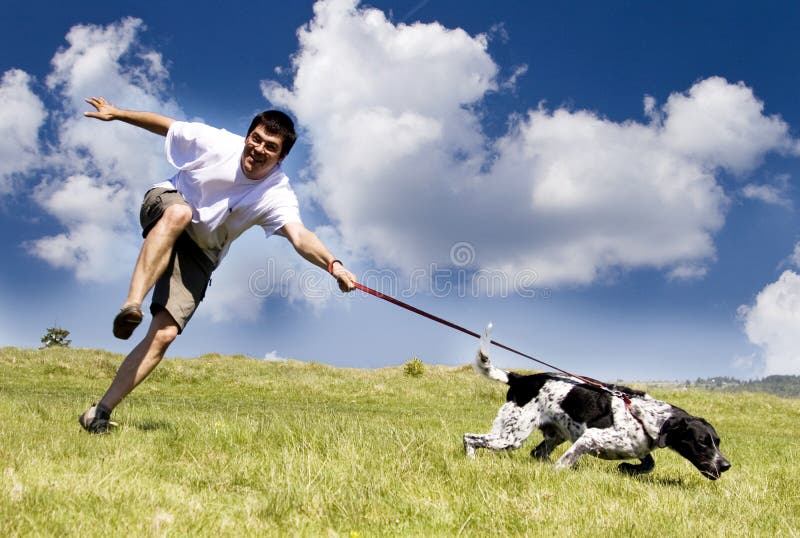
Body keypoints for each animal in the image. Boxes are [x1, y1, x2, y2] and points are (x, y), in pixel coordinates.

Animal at [462, 322, 732, 478]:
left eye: (717, 441)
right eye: (702, 442)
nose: (726, 465)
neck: (645, 417)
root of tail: (520, 379)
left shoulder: (637, 447)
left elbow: (649, 464)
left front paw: (628, 469)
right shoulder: (590, 437)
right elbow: (565, 462)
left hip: (552, 435)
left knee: (537, 453)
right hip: (511, 437)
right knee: (469, 438)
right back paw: (471, 461)